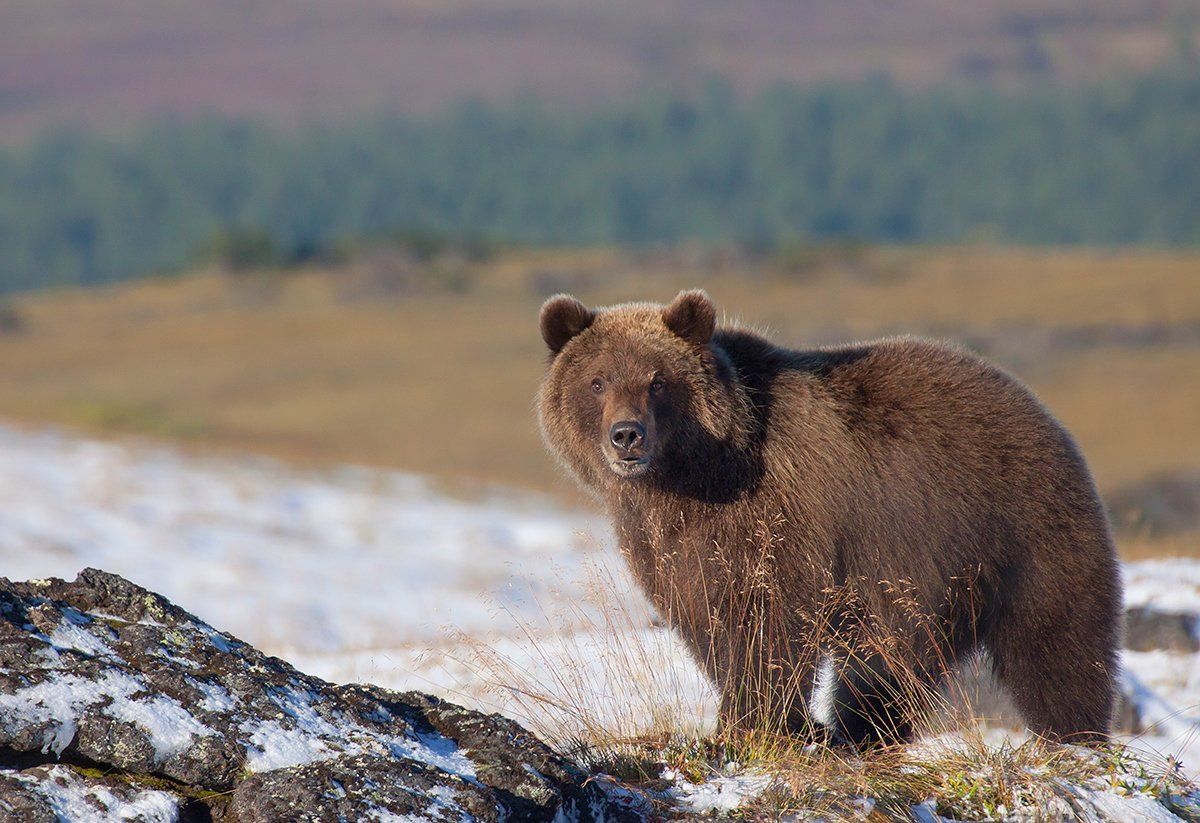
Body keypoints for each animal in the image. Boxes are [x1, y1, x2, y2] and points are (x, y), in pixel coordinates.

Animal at [540, 290, 1118, 748]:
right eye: (597, 381)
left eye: (658, 381)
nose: (627, 435)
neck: (692, 476)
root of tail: (1035, 404)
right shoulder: (670, 542)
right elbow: (706, 621)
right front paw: (775, 721)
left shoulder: (778, 516)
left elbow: (768, 621)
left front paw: (754, 722)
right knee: (888, 666)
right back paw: (863, 730)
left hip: (1019, 528)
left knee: (1057, 645)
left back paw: (1074, 737)